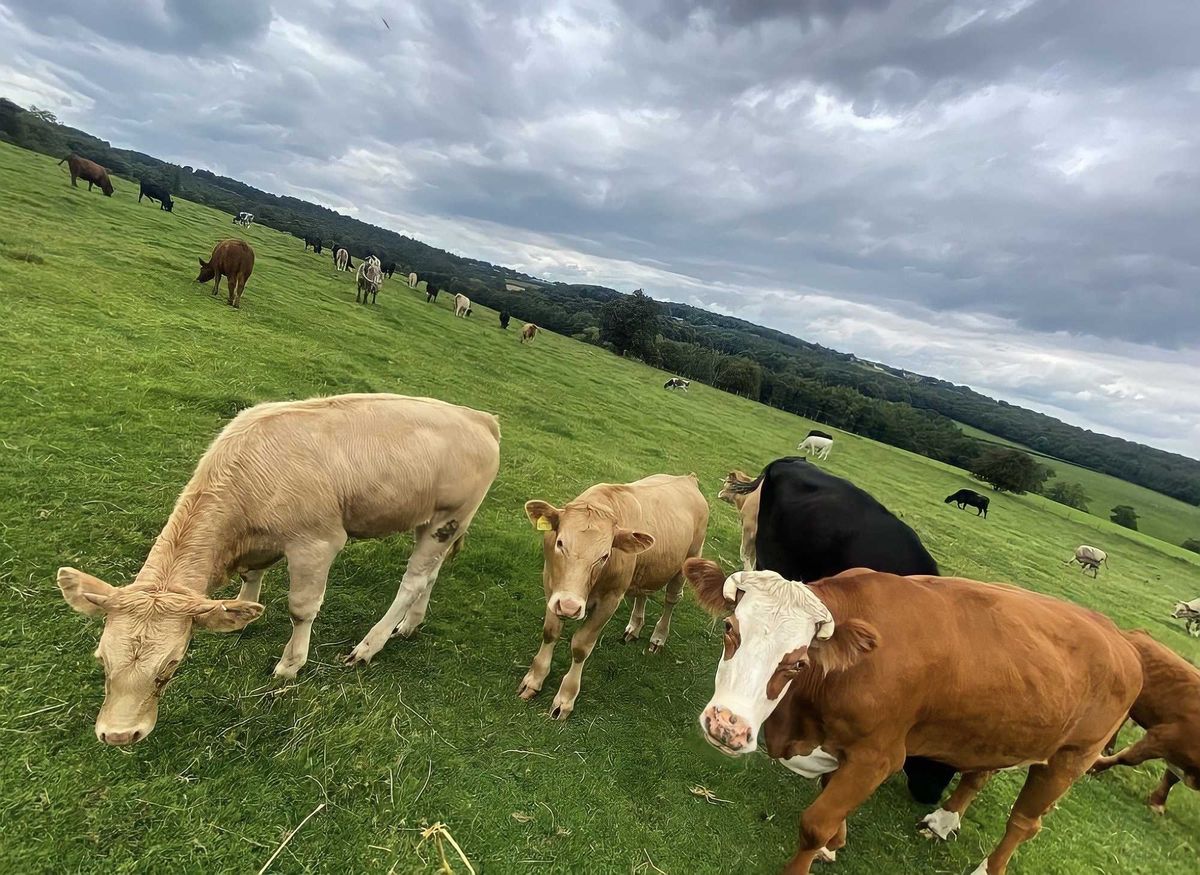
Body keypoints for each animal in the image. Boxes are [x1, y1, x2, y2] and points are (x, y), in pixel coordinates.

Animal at [57, 394, 500, 745]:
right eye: (101, 660)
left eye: (171, 665)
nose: (118, 735)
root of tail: (479, 417)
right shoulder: (258, 544)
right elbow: (251, 579)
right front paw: (242, 615)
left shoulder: (317, 543)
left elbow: (301, 609)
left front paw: (290, 665)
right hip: (439, 523)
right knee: (430, 575)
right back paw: (410, 624)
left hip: (448, 518)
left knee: (412, 580)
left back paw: (369, 645)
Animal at [518, 474, 708, 720]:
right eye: (560, 543)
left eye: (605, 556)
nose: (569, 607)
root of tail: (687, 478)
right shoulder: (551, 585)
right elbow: (550, 632)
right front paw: (533, 680)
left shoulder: (610, 600)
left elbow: (581, 646)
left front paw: (565, 699)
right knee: (643, 593)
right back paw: (634, 627)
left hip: (688, 560)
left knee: (671, 600)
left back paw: (658, 638)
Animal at [683, 560, 1142, 874]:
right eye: (729, 628)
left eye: (797, 663)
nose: (727, 725)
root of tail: (1119, 636)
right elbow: (830, 792)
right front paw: (836, 842)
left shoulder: (878, 755)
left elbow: (814, 823)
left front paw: (816, 849)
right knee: (980, 772)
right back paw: (945, 818)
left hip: (1072, 757)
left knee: (1024, 822)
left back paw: (987, 868)